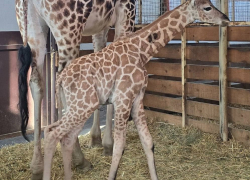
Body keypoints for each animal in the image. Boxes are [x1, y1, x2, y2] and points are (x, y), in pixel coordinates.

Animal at [14, 0, 136, 179]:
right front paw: (109, 144)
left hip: (33, 31)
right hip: (68, 31)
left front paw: (96, 139)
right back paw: (79, 159)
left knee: (37, 84)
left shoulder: (102, 25)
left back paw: (37, 166)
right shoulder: (127, 12)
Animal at [42, 0, 229, 179]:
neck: (141, 50)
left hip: (78, 106)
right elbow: (119, 146)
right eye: (207, 7)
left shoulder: (138, 97)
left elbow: (148, 142)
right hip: (83, 105)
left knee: (65, 138)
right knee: (52, 133)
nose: (226, 19)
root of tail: (60, 79)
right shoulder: (123, 98)